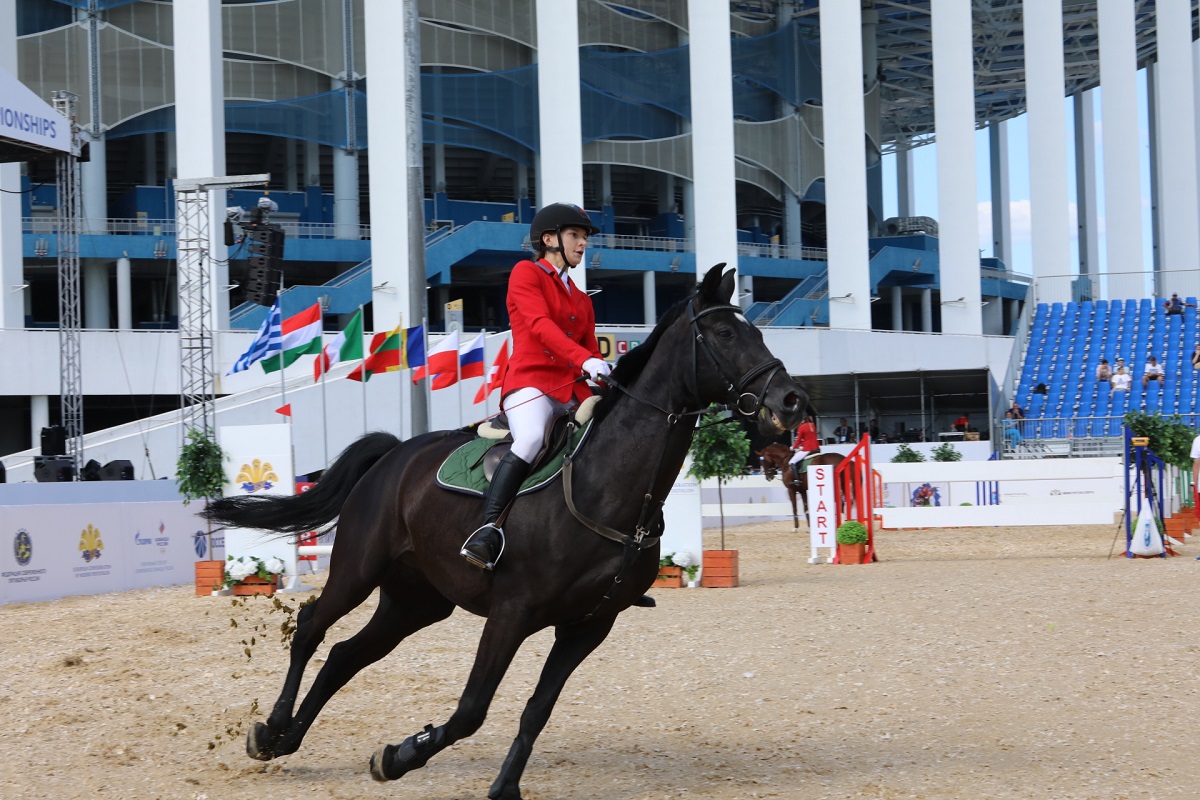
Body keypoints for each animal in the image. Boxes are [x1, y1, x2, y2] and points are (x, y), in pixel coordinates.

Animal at [204, 266, 806, 796]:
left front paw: (496, 784)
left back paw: (287, 739)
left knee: (345, 657)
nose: (791, 400)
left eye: (757, 330)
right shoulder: (512, 613)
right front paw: (401, 754)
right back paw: (270, 731)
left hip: (416, 601)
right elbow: (472, 709)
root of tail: (394, 454)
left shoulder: (589, 625)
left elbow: (536, 710)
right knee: (312, 628)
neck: (605, 486)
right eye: (726, 333)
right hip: (358, 570)